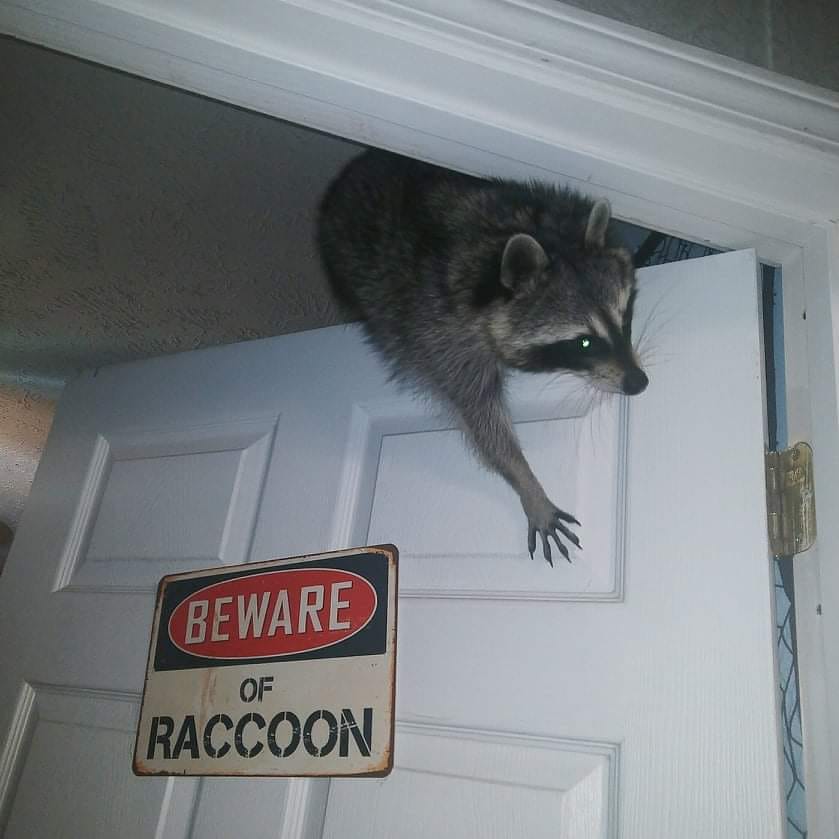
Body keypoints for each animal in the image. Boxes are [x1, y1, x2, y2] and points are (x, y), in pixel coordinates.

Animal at [317, 149, 647, 565]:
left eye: (625, 317)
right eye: (584, 343)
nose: (638, 382)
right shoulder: (443, 333)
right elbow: (479, 415)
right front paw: (525, 479)